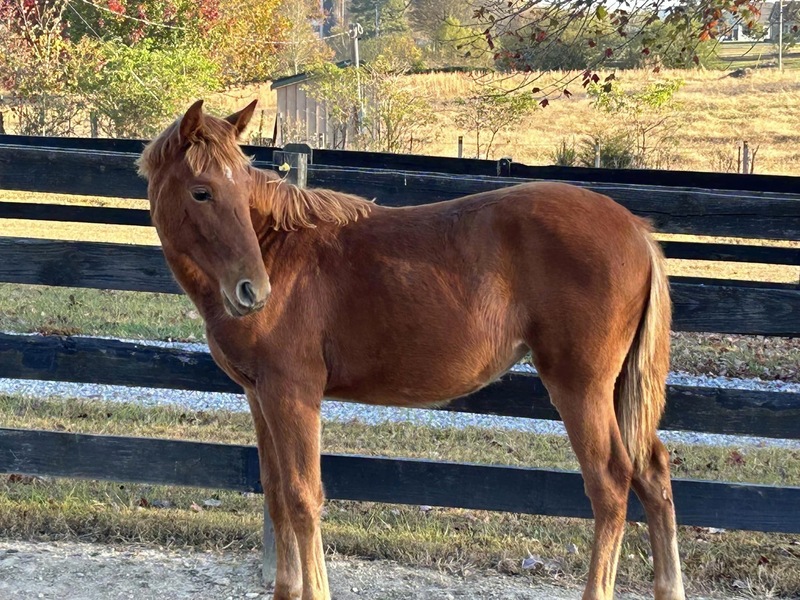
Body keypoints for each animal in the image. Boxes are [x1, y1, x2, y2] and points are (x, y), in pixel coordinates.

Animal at [136, 99, 685, 600]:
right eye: (202, 191)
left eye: (241, 186)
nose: (253, 291)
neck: (281, 250)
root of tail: (636, 230)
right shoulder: (259, 395)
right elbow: (274, 493)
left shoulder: (292, 395)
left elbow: (302, 497)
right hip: (617, 388)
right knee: (652, 472)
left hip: (581, 386)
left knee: (611, 484)